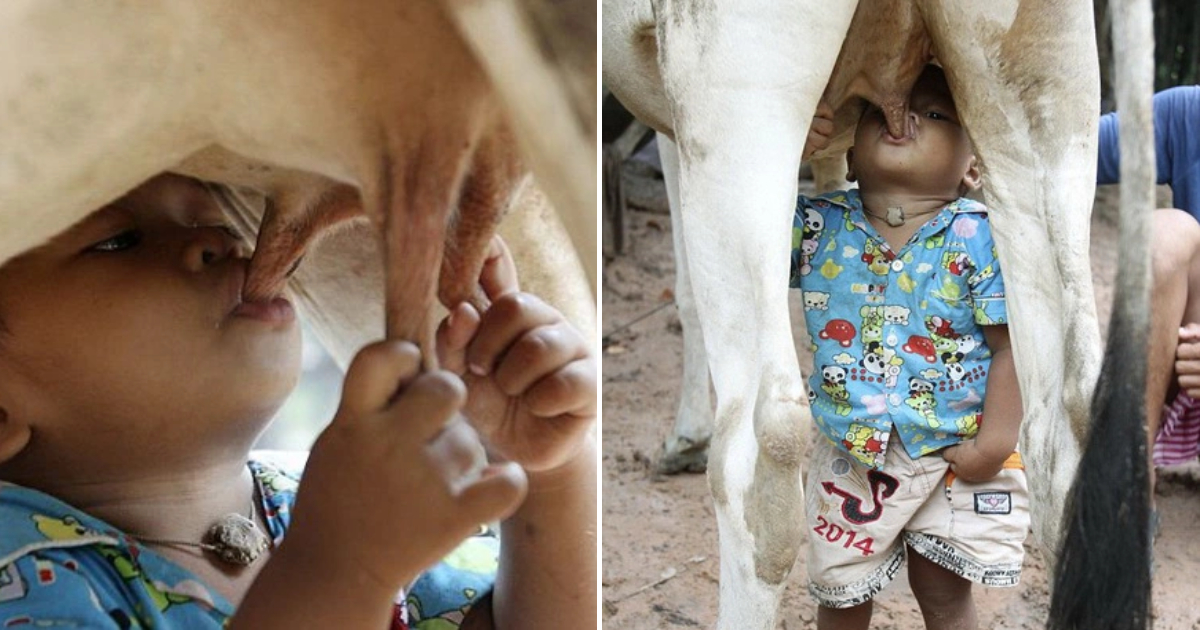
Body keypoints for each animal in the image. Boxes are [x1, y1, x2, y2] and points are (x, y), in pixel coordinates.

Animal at [604, 0, 1108, 624]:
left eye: (935, 111)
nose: (908, 119)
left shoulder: (670, 121)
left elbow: (685, 291)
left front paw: (683, 439)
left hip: (732, 101)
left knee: (760, 450)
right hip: (1047, 99)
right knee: (1065, 426)